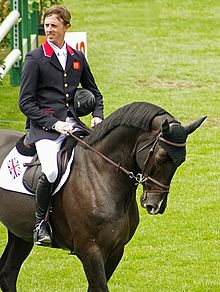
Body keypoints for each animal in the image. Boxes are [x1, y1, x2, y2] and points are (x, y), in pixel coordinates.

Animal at [0, 102, 206, 290]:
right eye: (160, 158)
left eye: (181, 161)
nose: (156, 205)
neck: (100, 174)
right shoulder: (90, 252)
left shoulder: (116, 250)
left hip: (20, 232)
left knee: (7, 274)